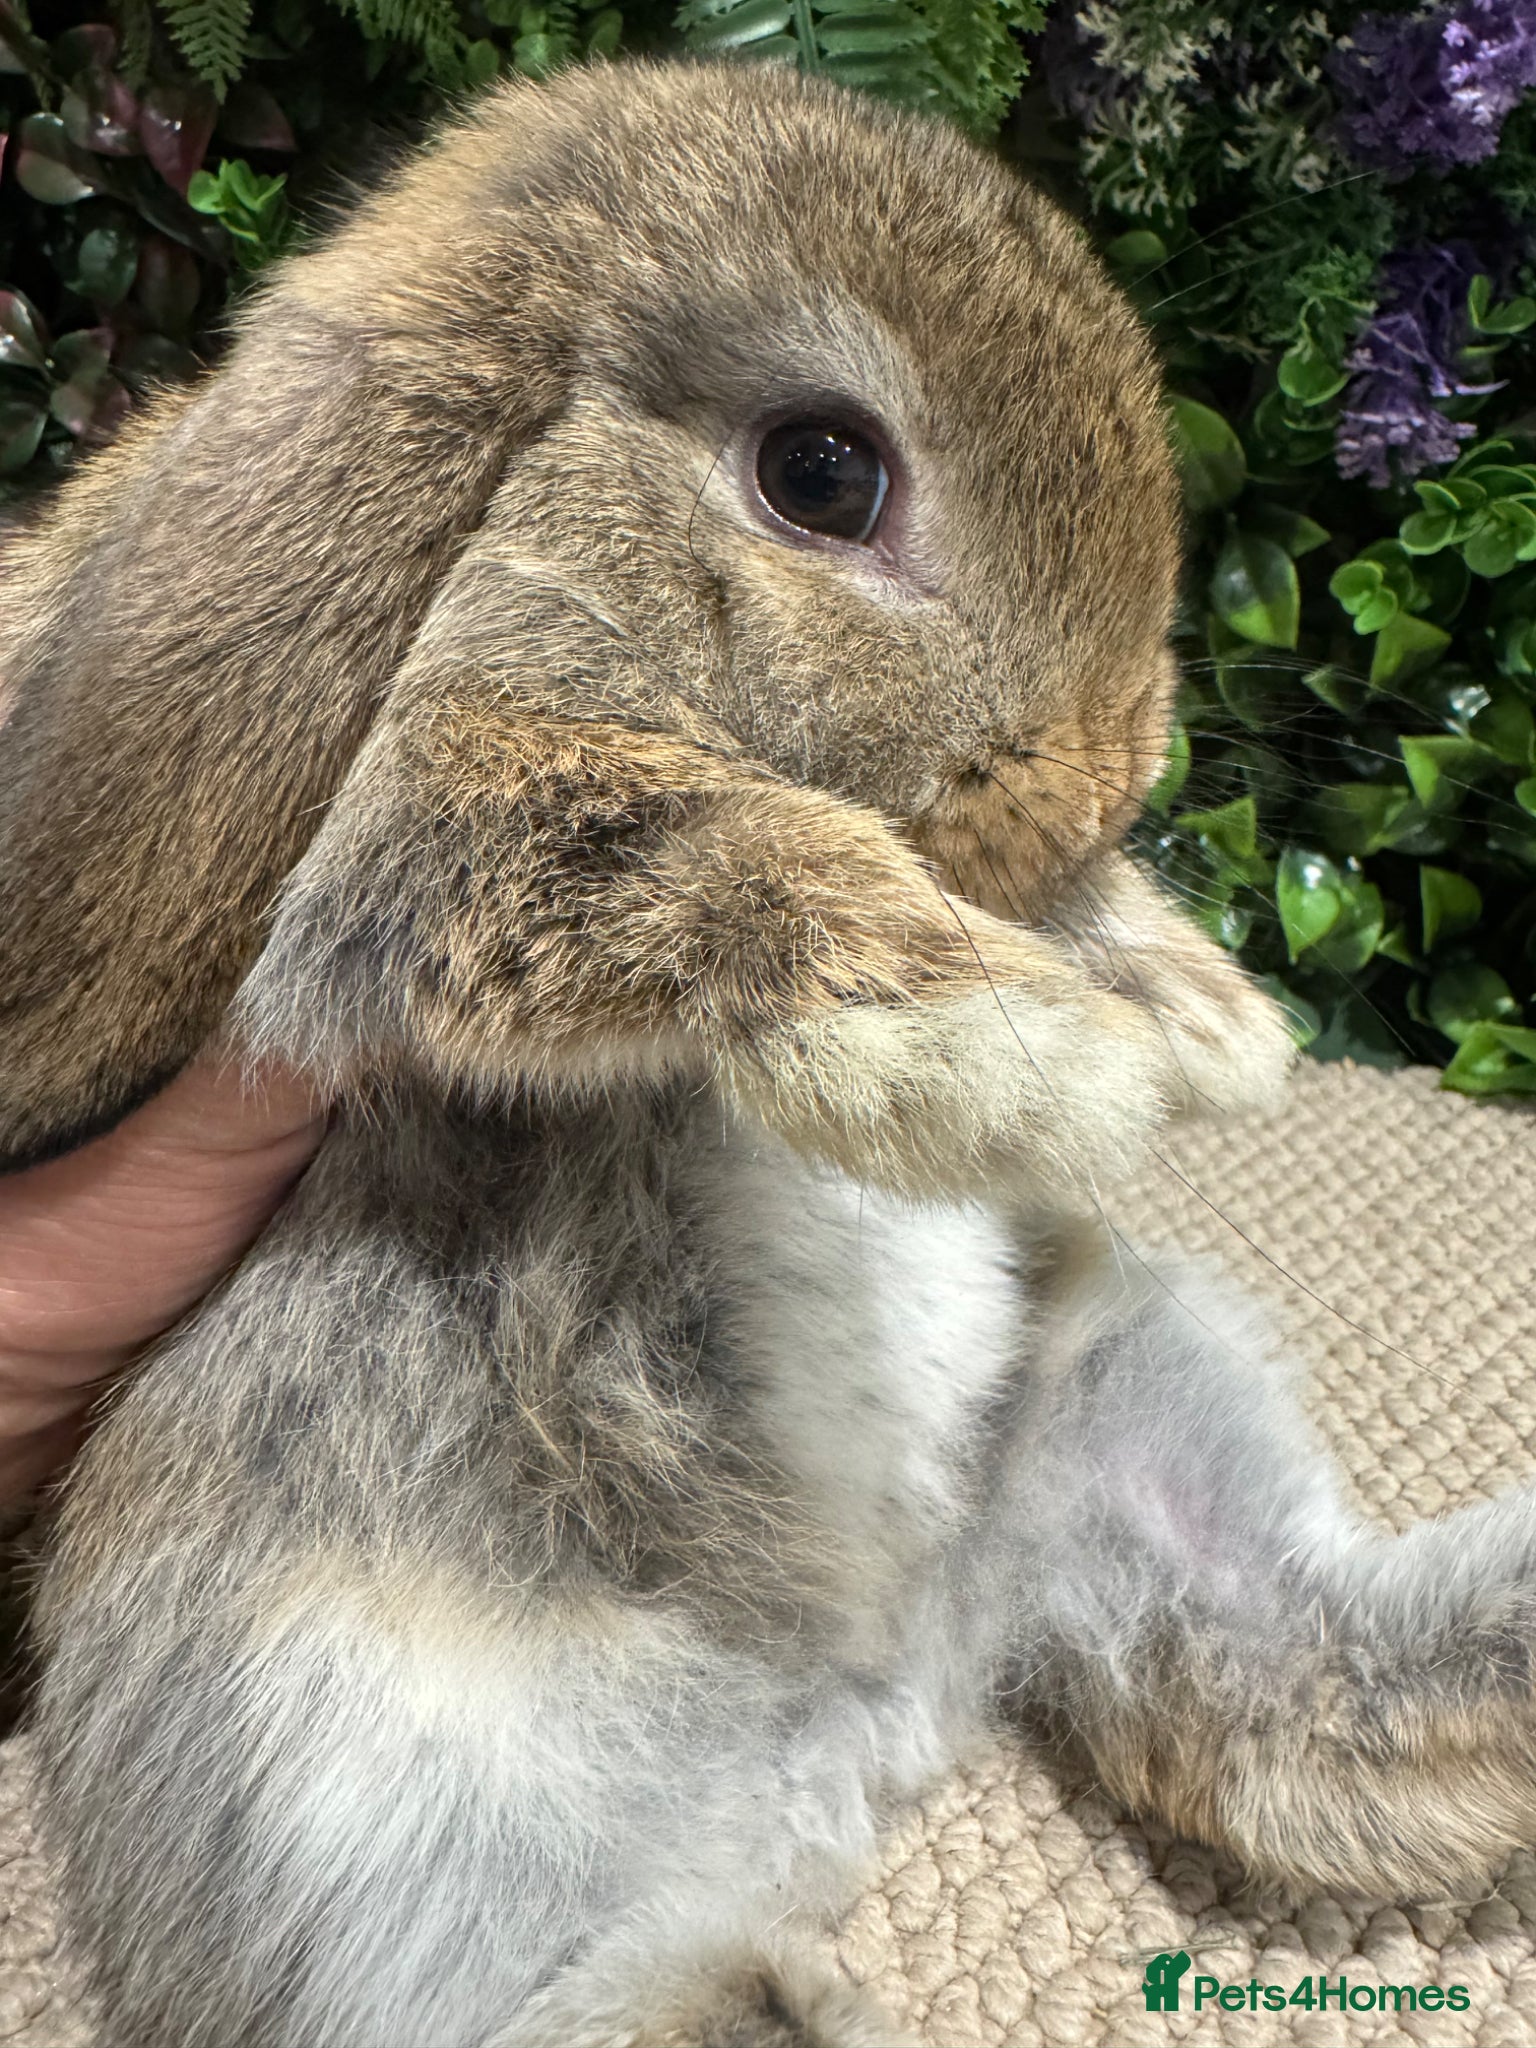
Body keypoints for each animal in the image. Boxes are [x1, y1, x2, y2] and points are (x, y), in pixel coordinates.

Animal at [4, 55, 1536, 2048]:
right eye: (824, 473)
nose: (1114, 772)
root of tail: (872, 1696)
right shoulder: (446, 823)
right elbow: (691, 843)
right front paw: (1039, 1059)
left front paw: (1200, 1017)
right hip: (352, 1773)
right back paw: (789, 1987)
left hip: (1118, 1406)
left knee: (1284, 1673)